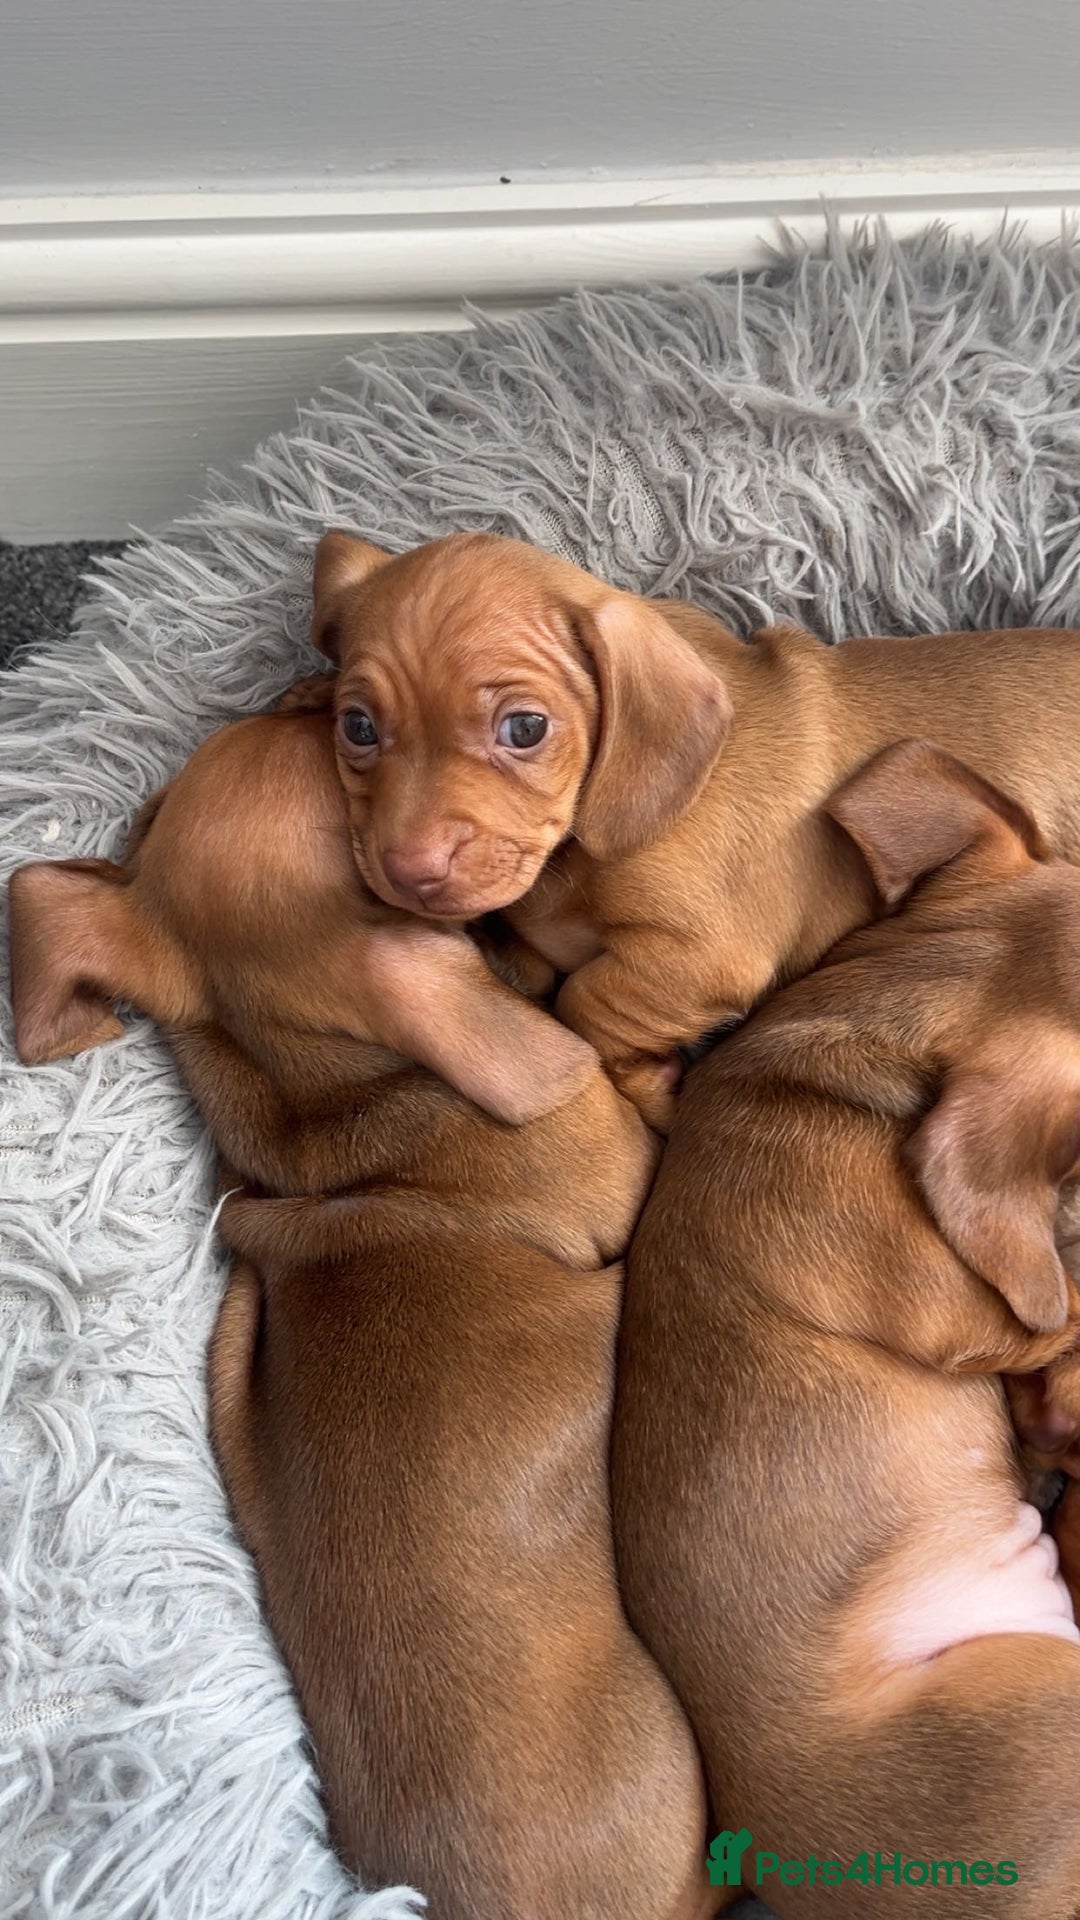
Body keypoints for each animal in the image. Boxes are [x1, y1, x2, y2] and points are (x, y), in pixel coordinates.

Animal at [298, 528, 1080, 1126]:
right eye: (357, 726)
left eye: (525, 728)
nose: (411, 872)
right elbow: (545, 973)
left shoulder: (704, 957)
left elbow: (585, 1000)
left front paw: (650, 1081)